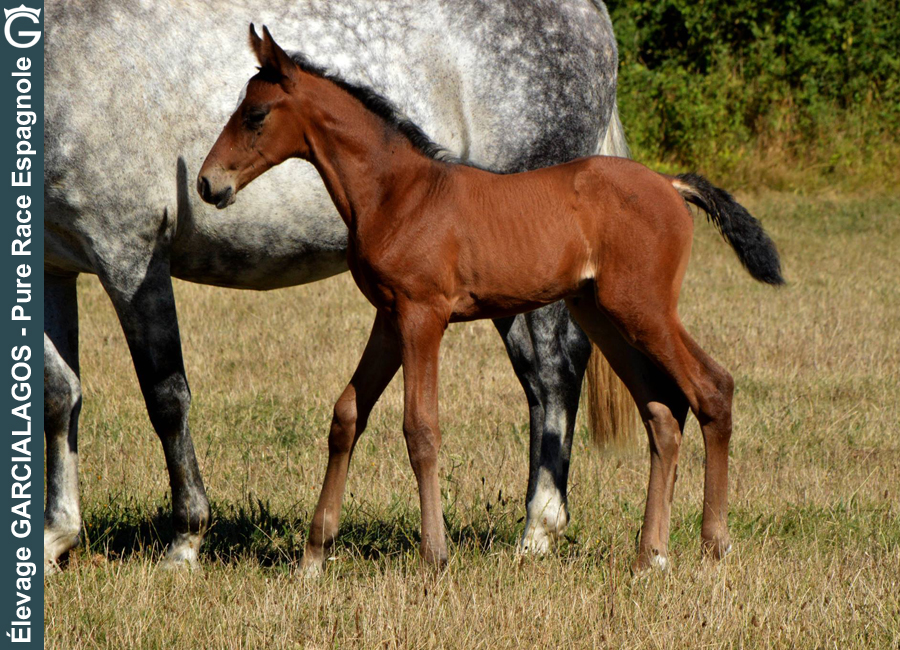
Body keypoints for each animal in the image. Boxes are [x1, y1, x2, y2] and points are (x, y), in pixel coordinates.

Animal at [45, 0, 628, 568]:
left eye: (255, 114)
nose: (207, 183)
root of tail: (595, 15)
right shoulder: (55, 262)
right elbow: (60, 394)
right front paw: (55, 537)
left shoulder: (127, 247)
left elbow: (166, 396)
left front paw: (185, 541)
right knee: (538, 376)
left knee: (556, 370)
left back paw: (538, 531)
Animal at [197, 26, 780, 572]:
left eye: (255, 114)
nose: (207, 183)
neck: (398, 194)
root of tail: (671, 184)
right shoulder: (388, 316)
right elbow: (346, 416)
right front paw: (313, 558)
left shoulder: (423, 315)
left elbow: (420, 428)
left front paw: (435, 556)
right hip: (604, 314)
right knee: (662, 413)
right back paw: (650, 555)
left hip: (644, 309)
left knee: (713, 389)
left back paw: (714, 544)